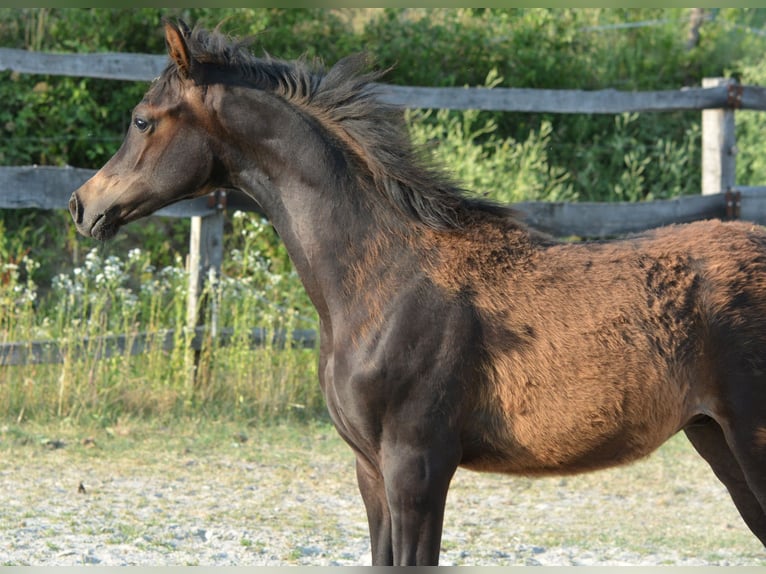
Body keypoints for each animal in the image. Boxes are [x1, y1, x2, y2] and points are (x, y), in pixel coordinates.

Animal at [69, 20, 766, 565]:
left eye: (141, 120)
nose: (82, 206)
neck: (385, 280)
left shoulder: (418, 467)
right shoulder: (371, 471)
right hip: (716, 441)